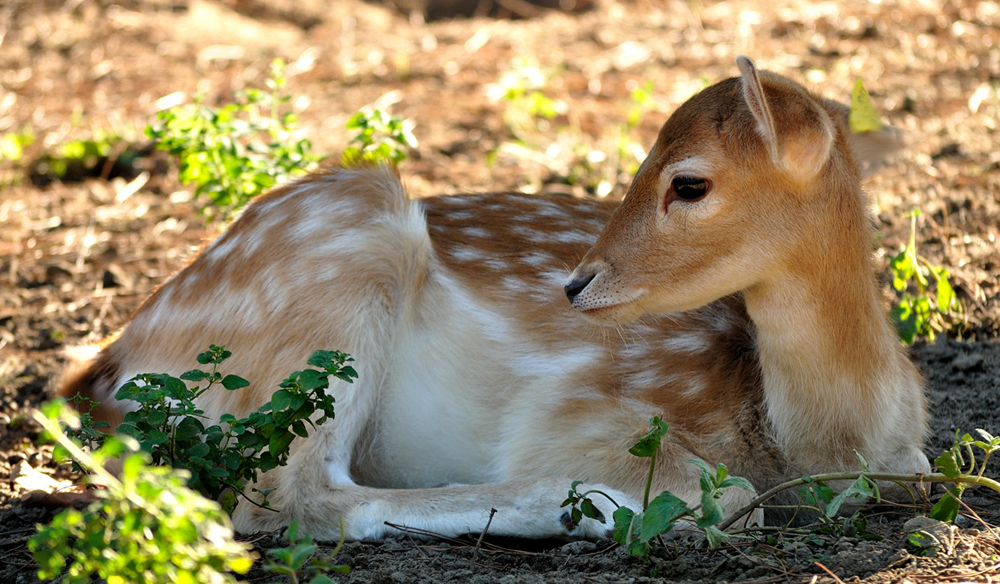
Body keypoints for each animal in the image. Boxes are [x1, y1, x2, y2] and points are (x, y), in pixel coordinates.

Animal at [56, 57, 928, 540]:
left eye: (689, 182)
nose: (575, 282)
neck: (819, 450)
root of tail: (102, 372)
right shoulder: (581, 412)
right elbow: (732, 496)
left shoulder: (909, 459)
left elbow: (914, 474)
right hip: (341, 270)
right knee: (285, 498)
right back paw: (571, 507)